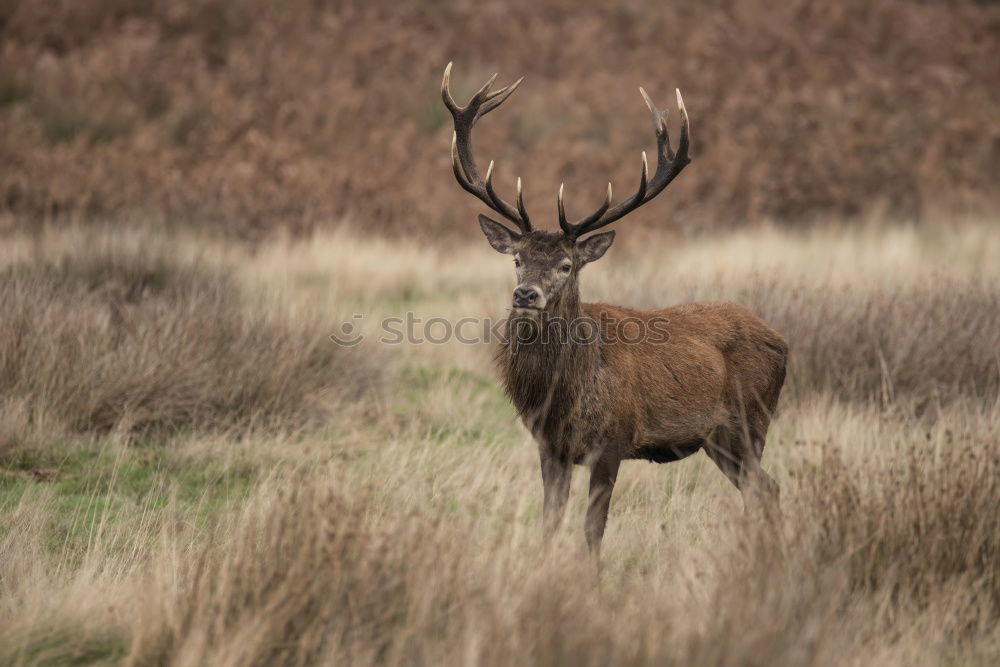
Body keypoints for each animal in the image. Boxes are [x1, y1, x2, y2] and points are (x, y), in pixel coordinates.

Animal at [442, 65, 784, 560]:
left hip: (749, 423)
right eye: (517, 259)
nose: (526, 294)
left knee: (766, 488)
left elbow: (593, 529)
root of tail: (783, 342)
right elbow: (550, 523)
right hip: (720, 441)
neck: (563, 394)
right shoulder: (550, 446)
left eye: (567, 265)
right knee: (765, 489)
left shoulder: (613, 441)